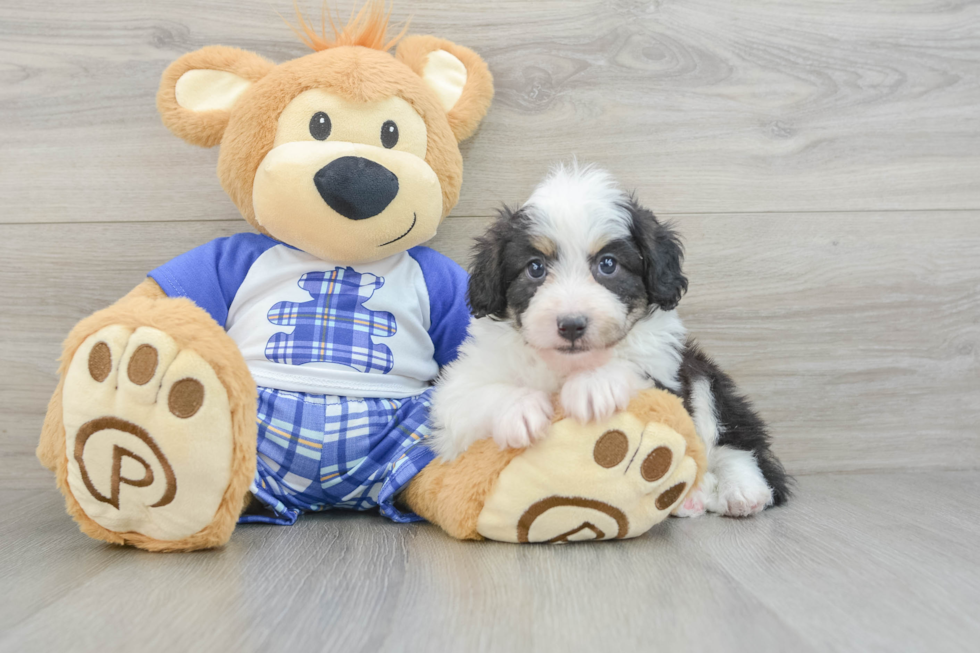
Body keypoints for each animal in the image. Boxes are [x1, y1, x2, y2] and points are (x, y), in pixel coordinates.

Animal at [428, 166, 788, 516]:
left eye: (608, 264)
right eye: (535, 268)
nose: (572, 325)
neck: (564, 366)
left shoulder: (666, 372)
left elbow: (632, 368)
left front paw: (593, 386)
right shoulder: (458, 389)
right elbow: (470, 397)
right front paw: (521, 410)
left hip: (703, 377)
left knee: (732, 443)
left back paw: (740, 491)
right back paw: (693, 500)